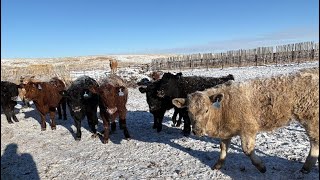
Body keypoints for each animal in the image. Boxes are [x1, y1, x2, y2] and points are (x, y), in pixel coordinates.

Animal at [174, 67, 318, 173]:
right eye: (188, 111)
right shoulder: (225, 132)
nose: (197, 131)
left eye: (206, 110)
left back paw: (306, 167)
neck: (223, 109)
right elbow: (223, 149)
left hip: (311, 119)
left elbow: (247, 150)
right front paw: (218, 165)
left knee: (315, 142)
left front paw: (261, 166)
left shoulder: (248, 129)